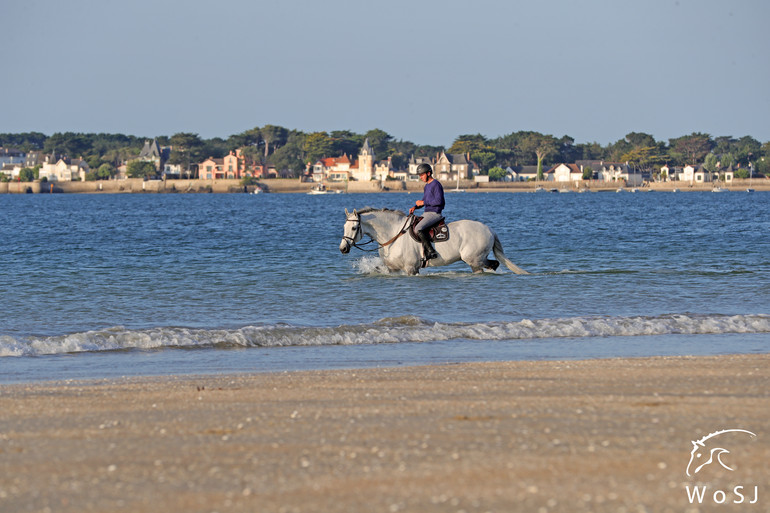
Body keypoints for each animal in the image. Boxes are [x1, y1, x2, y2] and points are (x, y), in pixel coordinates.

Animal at [340, 206, 528, 274]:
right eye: (344, 227)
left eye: (354, 228)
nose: (343, 249)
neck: (393, 235)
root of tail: (489, 229)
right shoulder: (393, 269)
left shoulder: (411, 268)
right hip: (476, 260)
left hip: (474, 259)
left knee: (489, 265)